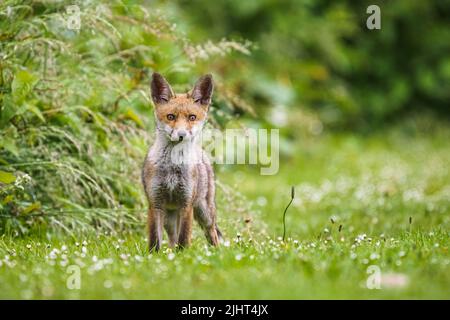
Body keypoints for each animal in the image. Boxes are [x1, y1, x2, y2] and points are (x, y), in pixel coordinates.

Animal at [142, 72, 221, 250]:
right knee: (172, 239)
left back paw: (218, 252)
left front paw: (184, 255)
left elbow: (184, 238)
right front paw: (153, 256)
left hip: (204, 212)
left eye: (192, 117)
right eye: (171, 117)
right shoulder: (155, 203)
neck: (172, 167)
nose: (182, 135)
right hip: (169, 218)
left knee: (212, 232)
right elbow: (155, 240)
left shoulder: (186, 203)